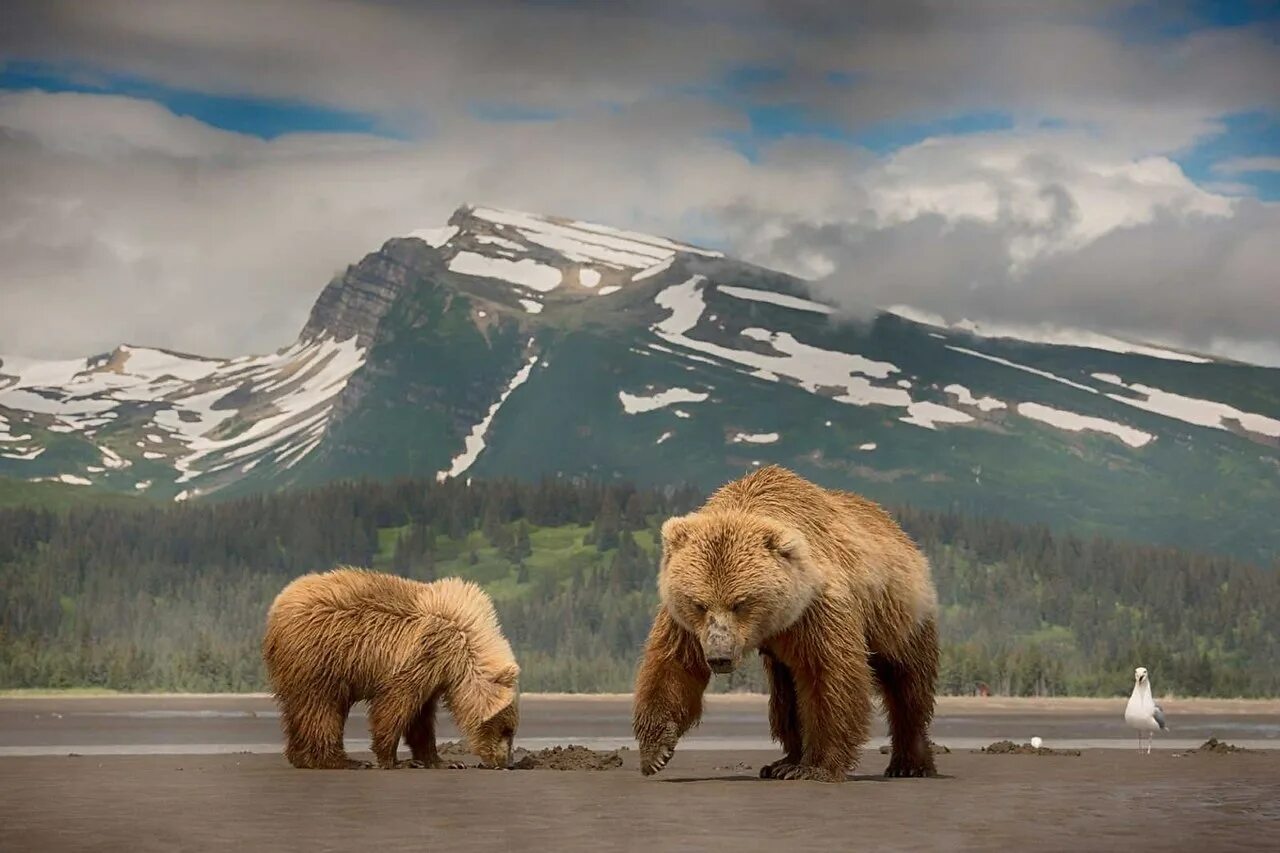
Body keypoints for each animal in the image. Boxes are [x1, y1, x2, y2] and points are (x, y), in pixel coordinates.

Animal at [259, 568, 519, 768]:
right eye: (506, 729)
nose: (505, 763)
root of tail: (278, 606)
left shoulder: (435, 672)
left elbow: (421, 717)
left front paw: (444, 761)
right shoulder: (425, 653)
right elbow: (396, 704)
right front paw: (392, 759)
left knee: (298, 708)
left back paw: (301, 757)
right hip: (320, 657)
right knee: (321, 708)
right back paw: (343, 760)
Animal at [632, 461, 942, 778]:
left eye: (740, 603)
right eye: (699, 604)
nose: (719, 657)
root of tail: (899, 531)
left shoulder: (816, 608)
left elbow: (829, 675)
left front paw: (816, 765)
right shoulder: (685, 624)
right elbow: (674, 665)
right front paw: (656, 751)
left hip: (898, 617)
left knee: (906, 685)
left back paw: (909, 764)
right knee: (786, 697)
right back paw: (783, 762)